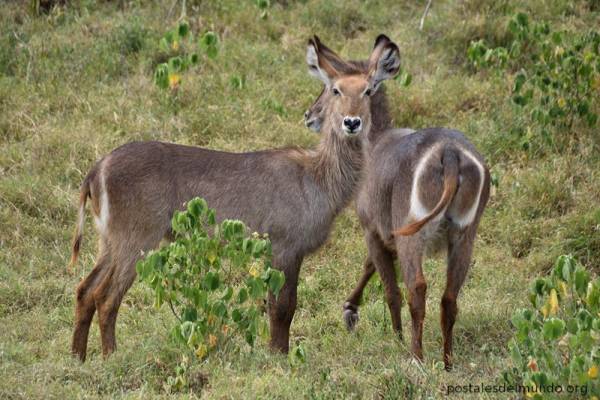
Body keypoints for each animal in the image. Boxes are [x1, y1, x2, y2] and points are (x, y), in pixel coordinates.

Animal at [68, 34, 400, 360]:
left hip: (109, 241)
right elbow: (283, 308)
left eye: (368, 90)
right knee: (106, 297)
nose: (351, 122)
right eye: (335, 89)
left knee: (84, 289)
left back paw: (78, 357)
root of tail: (97, 169)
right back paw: (111, 357)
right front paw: (279, 358)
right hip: (135, 241)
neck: (317, 176)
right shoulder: (285, 248)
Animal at [302, 36, 490, 370]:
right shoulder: (387, 232)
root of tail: (450, 154)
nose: (310, 115)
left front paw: (387, 332)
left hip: (413, 234)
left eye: (329, 88)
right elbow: (371, 266)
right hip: (464, 235)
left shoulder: (371, 228)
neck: (376, 141)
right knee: (449, 297)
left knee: (417, 288)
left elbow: (386, 284)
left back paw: (416, 357)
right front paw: (351, 310)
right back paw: (447, 363)